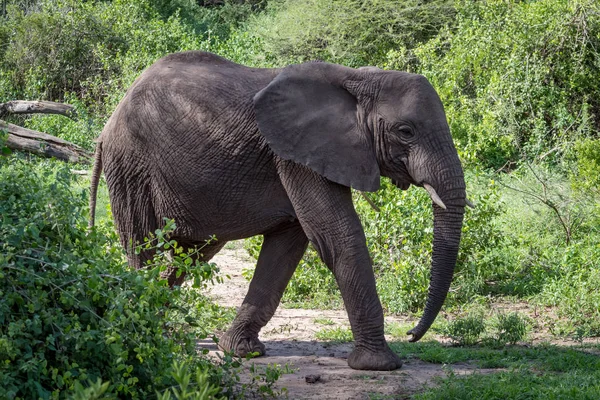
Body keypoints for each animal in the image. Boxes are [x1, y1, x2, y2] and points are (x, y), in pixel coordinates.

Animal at [88, 50, 468, 372]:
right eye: (405, 132)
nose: (412, 335)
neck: (358, 78)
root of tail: (107, 124)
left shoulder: (301, 153)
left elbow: (287, 246)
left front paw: (240, 351)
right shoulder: (297, 155)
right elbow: (336, 236)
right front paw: (378, 365)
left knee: (190, 254)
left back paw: (162, 329)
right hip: (131, 165)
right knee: (143, 246)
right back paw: (144, 326)